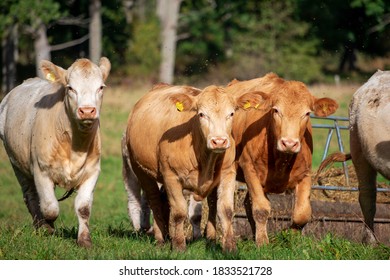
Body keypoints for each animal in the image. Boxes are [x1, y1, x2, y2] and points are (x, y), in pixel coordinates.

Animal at [0, 57, 111, 247]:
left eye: (101, 87)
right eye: (70, 88)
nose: (87, 111)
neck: (75, 146)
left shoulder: (92, 171)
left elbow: (83, 208)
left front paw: (84, 240)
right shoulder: (41, 170)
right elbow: (50, 208)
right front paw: (48, 226)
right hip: (17, 164)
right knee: (31, 196)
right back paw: (40, 224)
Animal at [123, 83, 266, 252]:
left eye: (231, 113)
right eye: (201, 114)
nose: (219, 141)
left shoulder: (228, 173)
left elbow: (225, 210)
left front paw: (230, 247)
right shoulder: (171, 176)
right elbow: (179, 212)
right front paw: (179, 246)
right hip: (142, 172)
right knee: (155, 201)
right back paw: (160, 239)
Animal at [225, 73, 338, 246]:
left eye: (307, 113)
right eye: (276, 110)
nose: (289, 143)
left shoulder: (305, 174)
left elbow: (302, 213)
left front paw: (291, 237)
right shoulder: (249, 169)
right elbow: (261, 208)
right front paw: (263, 242)